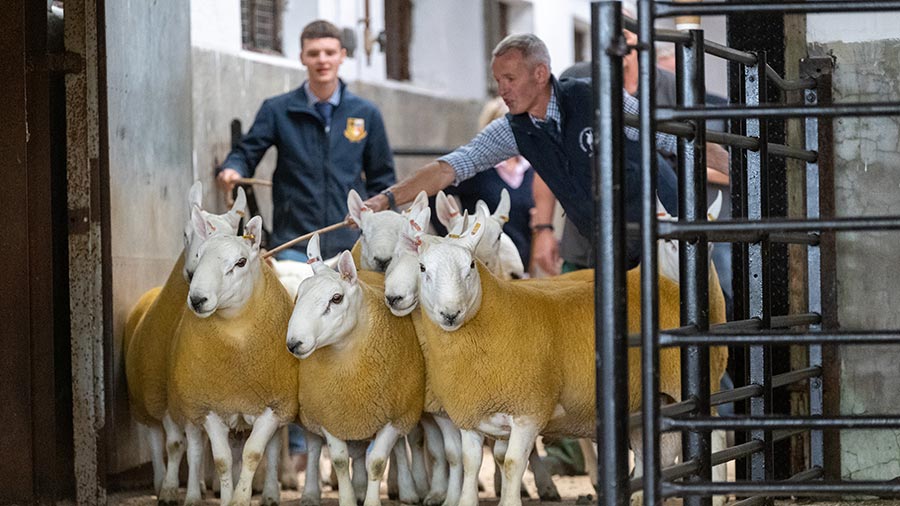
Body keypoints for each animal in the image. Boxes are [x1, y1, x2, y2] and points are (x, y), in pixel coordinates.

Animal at [167, 214, 298, 506]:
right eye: (199, 255)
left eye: (241, 262)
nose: (197, 299)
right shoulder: (211, 406)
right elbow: (222, 460)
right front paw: (228, 497)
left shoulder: (272, 407)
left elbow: (253, 454)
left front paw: (241, 498)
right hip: (190, 403)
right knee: (194, 447)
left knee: (272, 449)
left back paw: (271, 493)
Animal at [412, 207, 728, 506]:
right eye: (423, 268)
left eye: (470, 266)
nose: (450, 313)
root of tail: (671, 287)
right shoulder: (470, 413)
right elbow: (469, 463)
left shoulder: (530, 410)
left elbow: (513, 464)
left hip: (692, 384)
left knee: (715, 432)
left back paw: (718, 493)